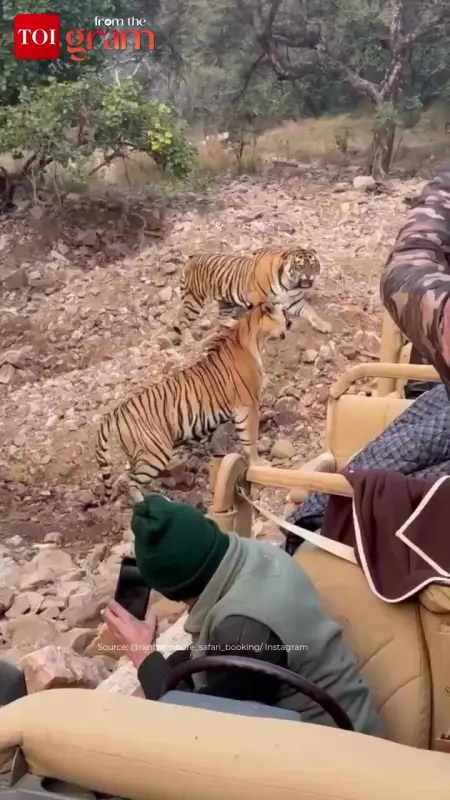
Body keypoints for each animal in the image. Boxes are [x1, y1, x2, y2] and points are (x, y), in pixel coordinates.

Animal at [95, 302, 290, 504]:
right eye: (283, 312)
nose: (290, 321)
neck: (253, 336)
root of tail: (114, 413)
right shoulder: (248, 405)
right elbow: (250, 438)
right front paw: (259, 463)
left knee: (127, 478)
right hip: (154, 454)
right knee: (130, 482)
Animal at [173, 246, 331, 339]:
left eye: (313, 265)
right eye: (299, 266)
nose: (309, 276)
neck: (290, 285)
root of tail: (191, 259)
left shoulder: (294, 301)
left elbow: (310, 311)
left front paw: (323, 325)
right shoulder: (258, 298)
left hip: (225, 301)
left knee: (222, 317)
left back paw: (235, 324)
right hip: (194, 299)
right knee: (182, 319)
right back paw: (189, 341)